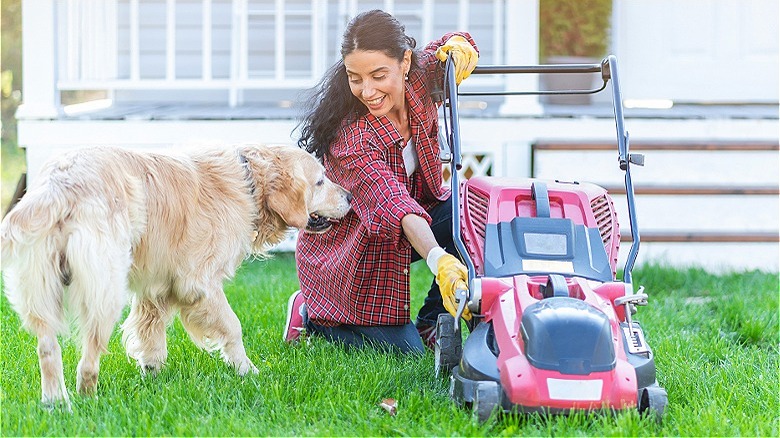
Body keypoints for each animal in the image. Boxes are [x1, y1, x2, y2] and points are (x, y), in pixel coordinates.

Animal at [0, 144, 348, 408]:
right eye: (320, 181)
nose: (348, 196)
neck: (248, 182)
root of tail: (61, 184)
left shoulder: (156, 287)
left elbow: (151, 332)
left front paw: (152, 374)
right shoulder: (200, 282)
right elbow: (232, 326)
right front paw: (248, 371)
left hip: (41, 289)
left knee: (47, 348)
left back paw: (56, 403)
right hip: (106, 288)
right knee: (88, 358)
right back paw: (88, 401)